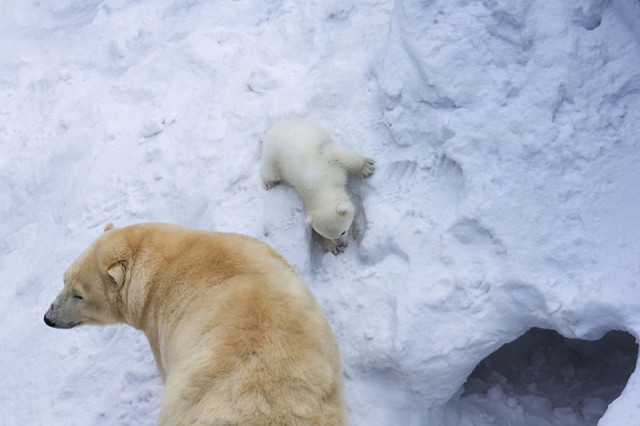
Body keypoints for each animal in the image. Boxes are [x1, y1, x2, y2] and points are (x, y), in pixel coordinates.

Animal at [260, 118, 376, 255]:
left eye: (343, 232)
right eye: (329, 235)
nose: (341, 244)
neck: (320, 184)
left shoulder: (326, 160)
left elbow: (339, 155)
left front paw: (366, 167)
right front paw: (331, 246)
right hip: (273, 155)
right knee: (271, 172)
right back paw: (269, 183)